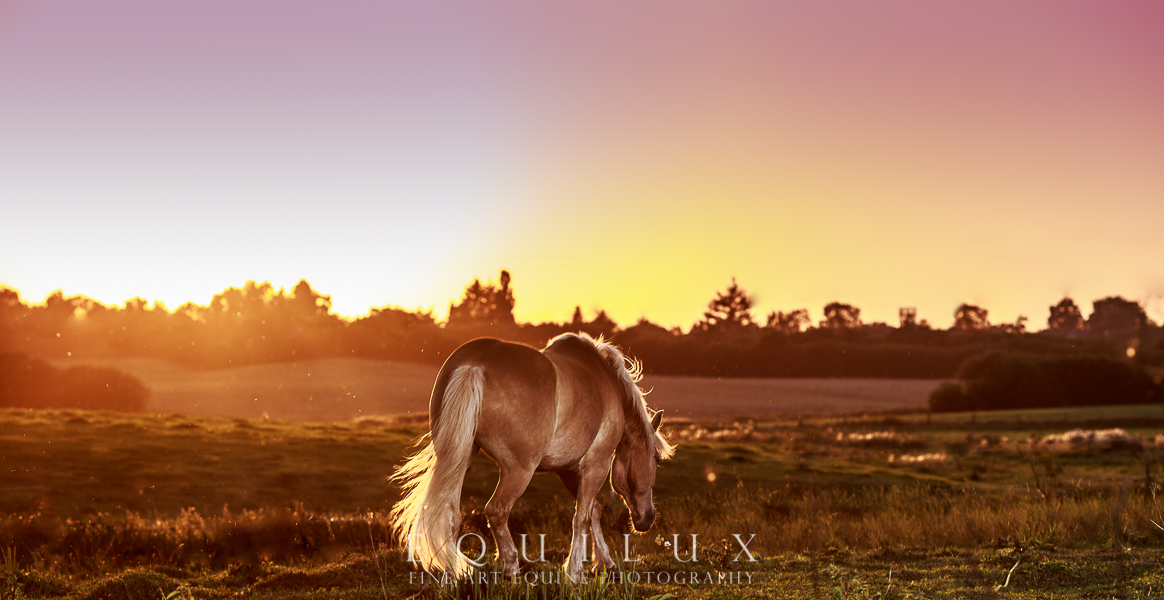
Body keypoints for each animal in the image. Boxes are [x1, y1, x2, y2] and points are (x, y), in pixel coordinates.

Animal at [391, 330, 675, 584]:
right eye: (656, 460)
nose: (648, 519)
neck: (607, 382)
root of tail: (475, 365)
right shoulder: (597, 464)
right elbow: (582, 517)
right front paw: (574, 574)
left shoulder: (568, 470)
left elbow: (592, 511)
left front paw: (604, 563)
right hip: (518, 470)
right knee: (497, 511)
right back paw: (510, 568)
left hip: (460, 456)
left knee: (448, 514)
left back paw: (453, 575)